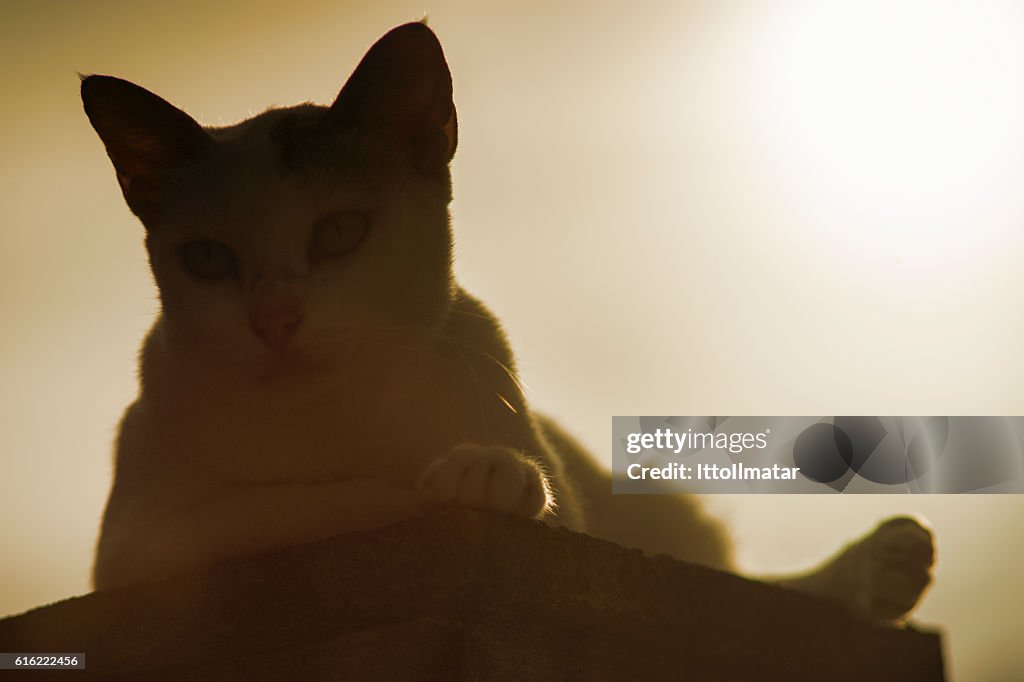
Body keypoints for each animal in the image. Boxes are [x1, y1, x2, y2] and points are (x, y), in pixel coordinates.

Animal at [83, 19, 933, 622]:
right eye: (208, 259)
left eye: (340, 232)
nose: (275, 318)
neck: (338, 421)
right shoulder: (137, 544)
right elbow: (313, 503)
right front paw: (444, 482)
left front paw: (487, 471)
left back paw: (877, 568)